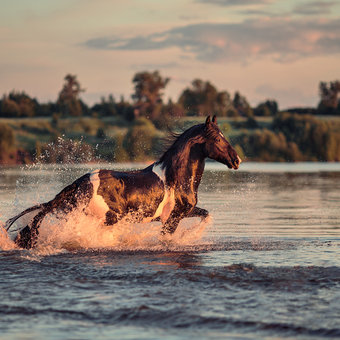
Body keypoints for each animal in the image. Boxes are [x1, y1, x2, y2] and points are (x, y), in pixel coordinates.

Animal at [3, 115, 240, 248]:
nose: (237, 160)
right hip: (109, 218)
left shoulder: (184, 212)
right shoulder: (172, 218)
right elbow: (167, 239)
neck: (176, 179)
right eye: (217, 138)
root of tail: (80, 183)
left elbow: (207, 215)